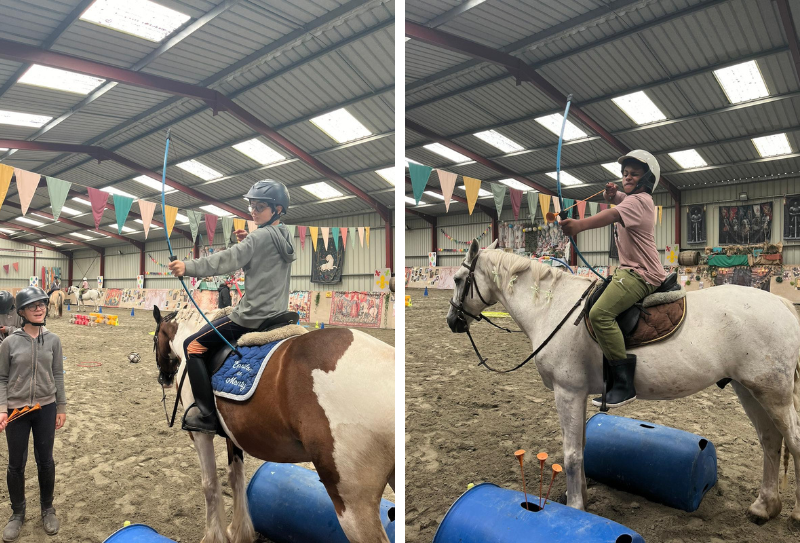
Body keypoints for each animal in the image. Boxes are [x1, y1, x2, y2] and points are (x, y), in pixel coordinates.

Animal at [153, 305, 395, 543]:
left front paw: (214, 537)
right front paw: (240, 532)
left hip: (352, 501)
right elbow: (236, 477)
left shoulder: (200, 434)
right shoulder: (233, 434)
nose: (164, 379)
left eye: (155, 339)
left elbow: (209, 483)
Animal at [446, 239, 800, 524]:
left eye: (459, 279)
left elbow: (572, 454)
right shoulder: (578, 395)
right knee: (770, 440)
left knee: (792, 441)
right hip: (750, 389)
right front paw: (580, 497)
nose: (452, 321)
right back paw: (764, 507)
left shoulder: (567, 392)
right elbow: (582, 448)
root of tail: (781, 304)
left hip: (774, 394)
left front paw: (575, 508)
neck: (552, 307)